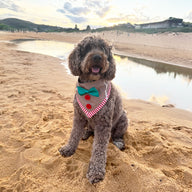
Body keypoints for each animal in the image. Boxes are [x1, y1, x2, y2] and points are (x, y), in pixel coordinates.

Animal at [59, 35, 128, 184]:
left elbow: (99, 149)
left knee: (118, 134)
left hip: (123, 119)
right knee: (88, 129)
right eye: (87, 48)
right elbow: (74, 134)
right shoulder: (78, 116)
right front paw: (69, 148)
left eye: (103, 48)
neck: (90, 88)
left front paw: (96, 173)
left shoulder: (103, 124)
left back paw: (118, 142)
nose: (97, 57)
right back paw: (85, 133)